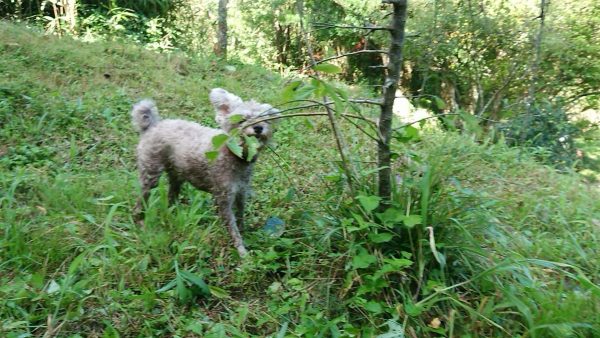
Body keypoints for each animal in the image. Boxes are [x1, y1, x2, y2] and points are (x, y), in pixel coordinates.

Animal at [131, 88, 276, 256]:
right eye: (241, 120)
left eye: (265, 119)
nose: (258, 128)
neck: (234, 155)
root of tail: (153, 125)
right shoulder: (223, 198)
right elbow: (233, 228)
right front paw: (242, 253)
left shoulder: (241, 192)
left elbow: (240, 216)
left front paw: (244, 232)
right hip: (151, 174)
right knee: (140, 202)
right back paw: (140, 223)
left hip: (177, 175)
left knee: (171, 197)